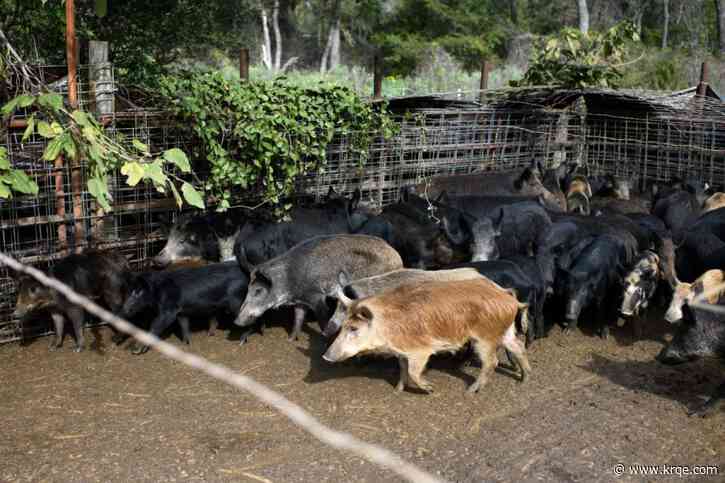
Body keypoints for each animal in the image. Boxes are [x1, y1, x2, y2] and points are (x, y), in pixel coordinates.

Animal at [235, 234, 402, 340]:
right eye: (248, 289)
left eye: (258, 291)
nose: (236, 322)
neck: (289, 280)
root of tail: (397, 258)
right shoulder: (300, 302)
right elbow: (298, 318)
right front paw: (291, 339)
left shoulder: (317, 297)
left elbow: (322, 320)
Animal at [322, 278, 532, 396]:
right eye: (343, 326)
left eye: (353, 328)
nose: (325, 356)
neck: (387, 326)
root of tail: (510, 298)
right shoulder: (401, 353)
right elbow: (402, 368)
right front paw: (397, 391)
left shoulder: (421, 351)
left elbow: (414, 372)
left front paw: (431, 389)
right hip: (504, 332)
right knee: (518, 346)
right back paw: (524, 379)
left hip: (484, 338)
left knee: (492, 362)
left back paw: (469, 392)